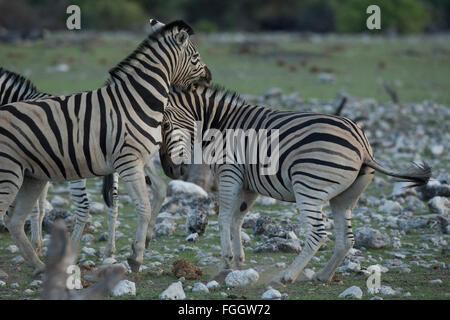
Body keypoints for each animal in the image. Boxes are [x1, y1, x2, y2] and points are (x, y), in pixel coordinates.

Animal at [0, 20, 211, 276]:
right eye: (195, 56)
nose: (209, 77)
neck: (137, 101)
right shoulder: (129, 162)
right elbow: (143, 205)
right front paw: (136, 256)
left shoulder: (139, 160)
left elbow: (158, 191)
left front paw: (142, 243)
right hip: (11, 173)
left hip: (31, 177)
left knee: (15, 220)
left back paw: (41, 266)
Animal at [156, 84, 430, 282]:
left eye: (165, 125)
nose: (169, 170)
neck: (219, 124)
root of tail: (363, 147)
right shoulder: (249, 185)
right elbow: (236, 221)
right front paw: (238, 264)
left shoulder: (229, 173)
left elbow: (224, 218)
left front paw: (226, 263)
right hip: (345, 197)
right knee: (347, 239)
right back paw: (322, 276)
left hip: (308, 187)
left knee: (318, 234)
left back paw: (287, 276)